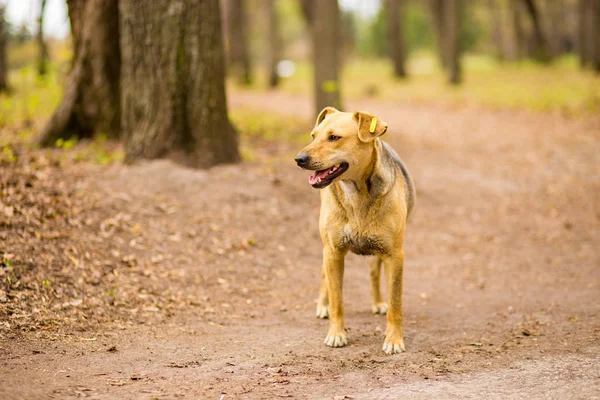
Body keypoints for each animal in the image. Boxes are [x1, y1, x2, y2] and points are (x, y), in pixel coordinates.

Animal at [296, 106, 418, 354]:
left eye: (334, 137)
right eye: (313, 136)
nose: (299, 159)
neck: (356, 192)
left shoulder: (394, 255)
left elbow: (395, 302)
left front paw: (394, 339)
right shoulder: (333, 252)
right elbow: (337, 299)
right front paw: (336, 333)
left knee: (374, 272)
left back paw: (378, 302)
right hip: (326, 246)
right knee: (323, 275)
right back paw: (322, 305)